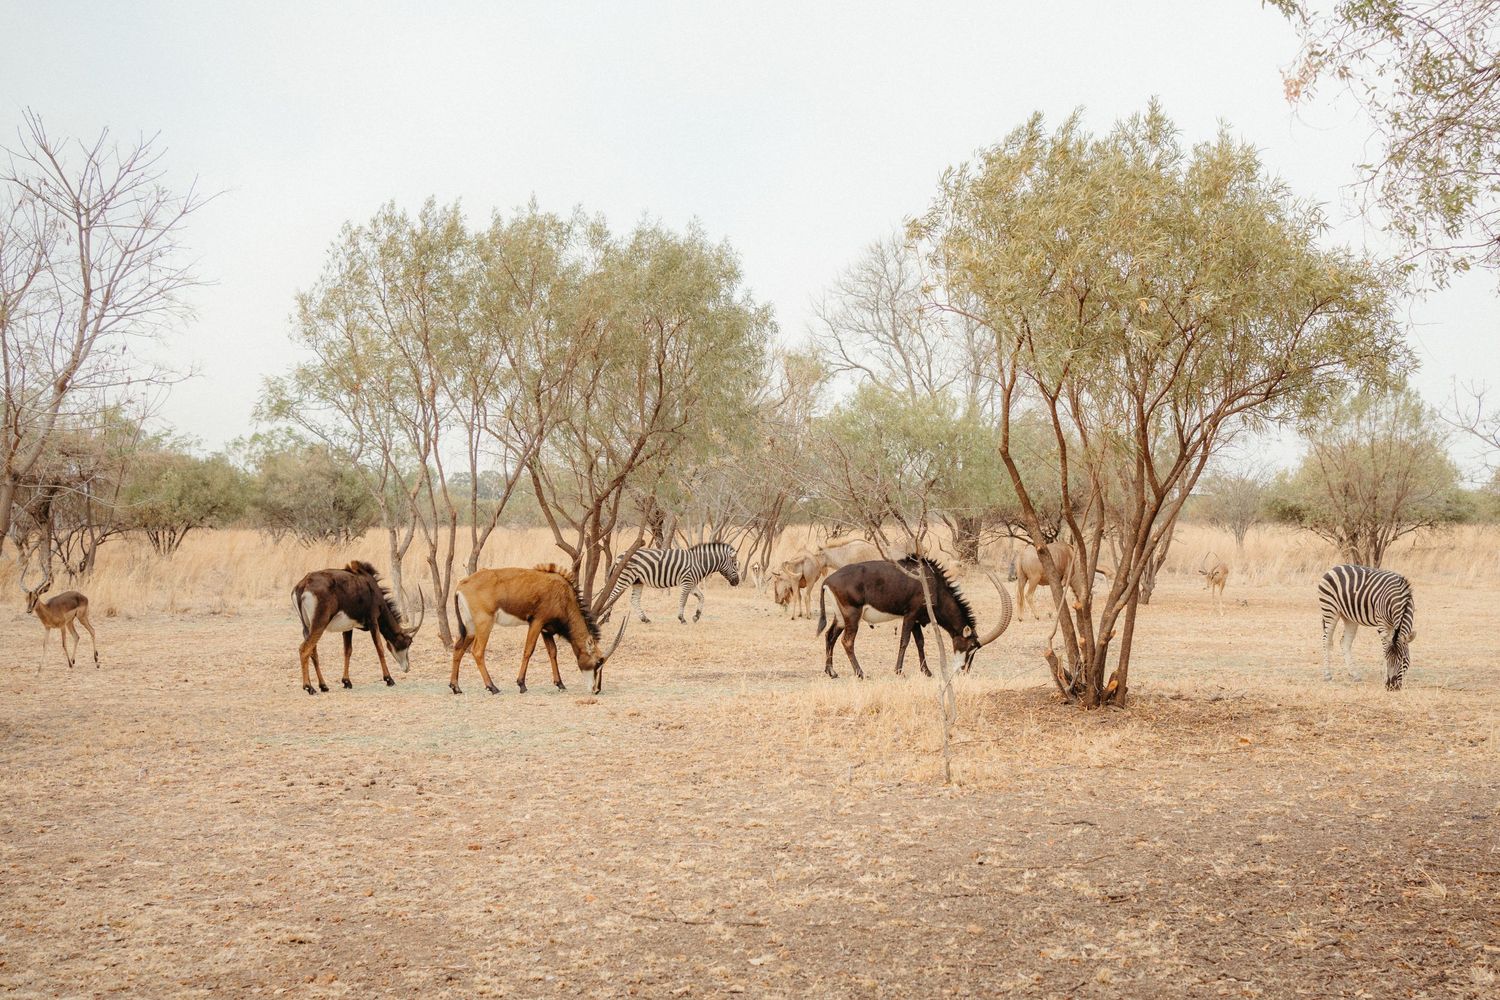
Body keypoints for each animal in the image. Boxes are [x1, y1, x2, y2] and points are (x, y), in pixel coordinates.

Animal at [600, 542, 741, 624]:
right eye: (735, 564)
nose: (737, 582)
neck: (699, 562)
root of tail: (620, 555)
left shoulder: (692, 583)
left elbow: (702, 597)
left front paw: (696, 616)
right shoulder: (687, 582)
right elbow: (683, 600)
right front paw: (682, 618)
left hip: (637, 581)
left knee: (634, 600)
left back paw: (645, 619)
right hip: (625, 578)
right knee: (612, 595)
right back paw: (606, 617)